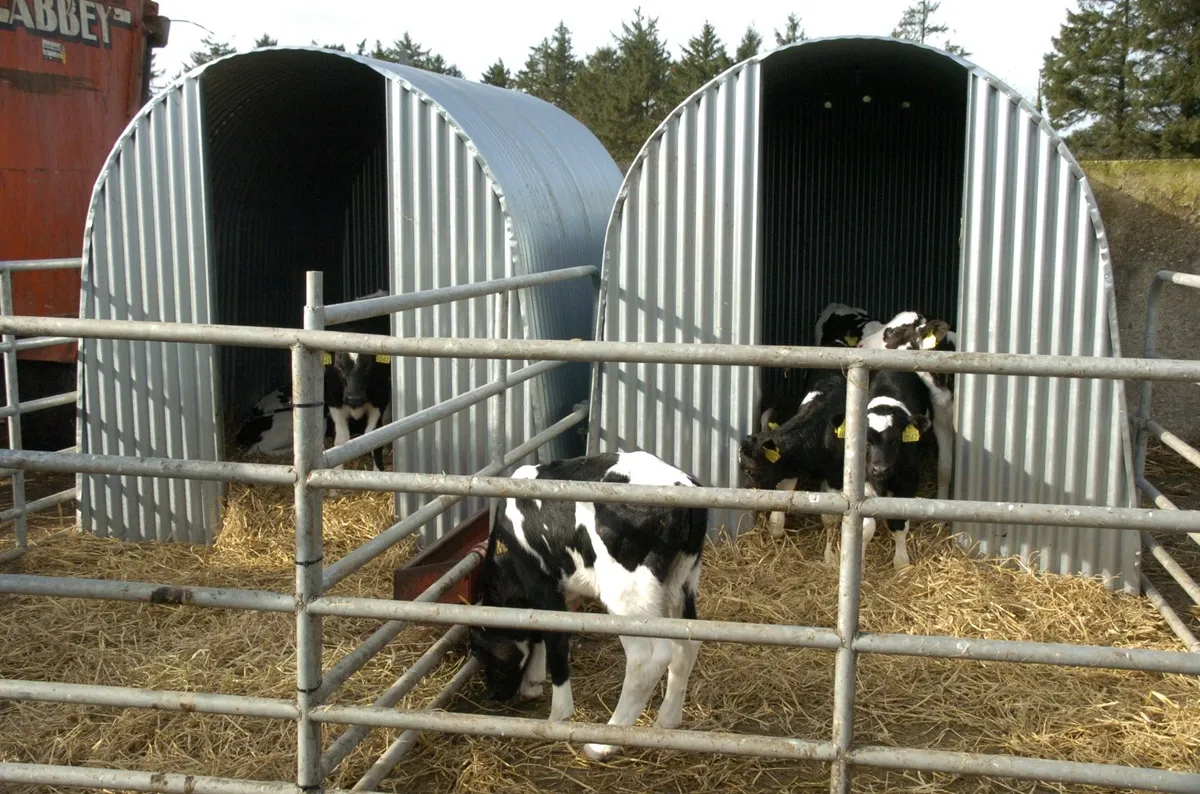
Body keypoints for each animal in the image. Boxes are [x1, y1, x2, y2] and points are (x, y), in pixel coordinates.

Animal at [465, 450, 705, 762]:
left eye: (479, 650)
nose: (492, 694)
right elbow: (538, 627)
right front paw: (532, 682)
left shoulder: (540, 577)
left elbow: (553, 636)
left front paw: (557, 713)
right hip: (681, 583)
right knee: (686, 643)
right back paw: (667, 721)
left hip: (628, 595)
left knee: (648, 658)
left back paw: (603, 743)